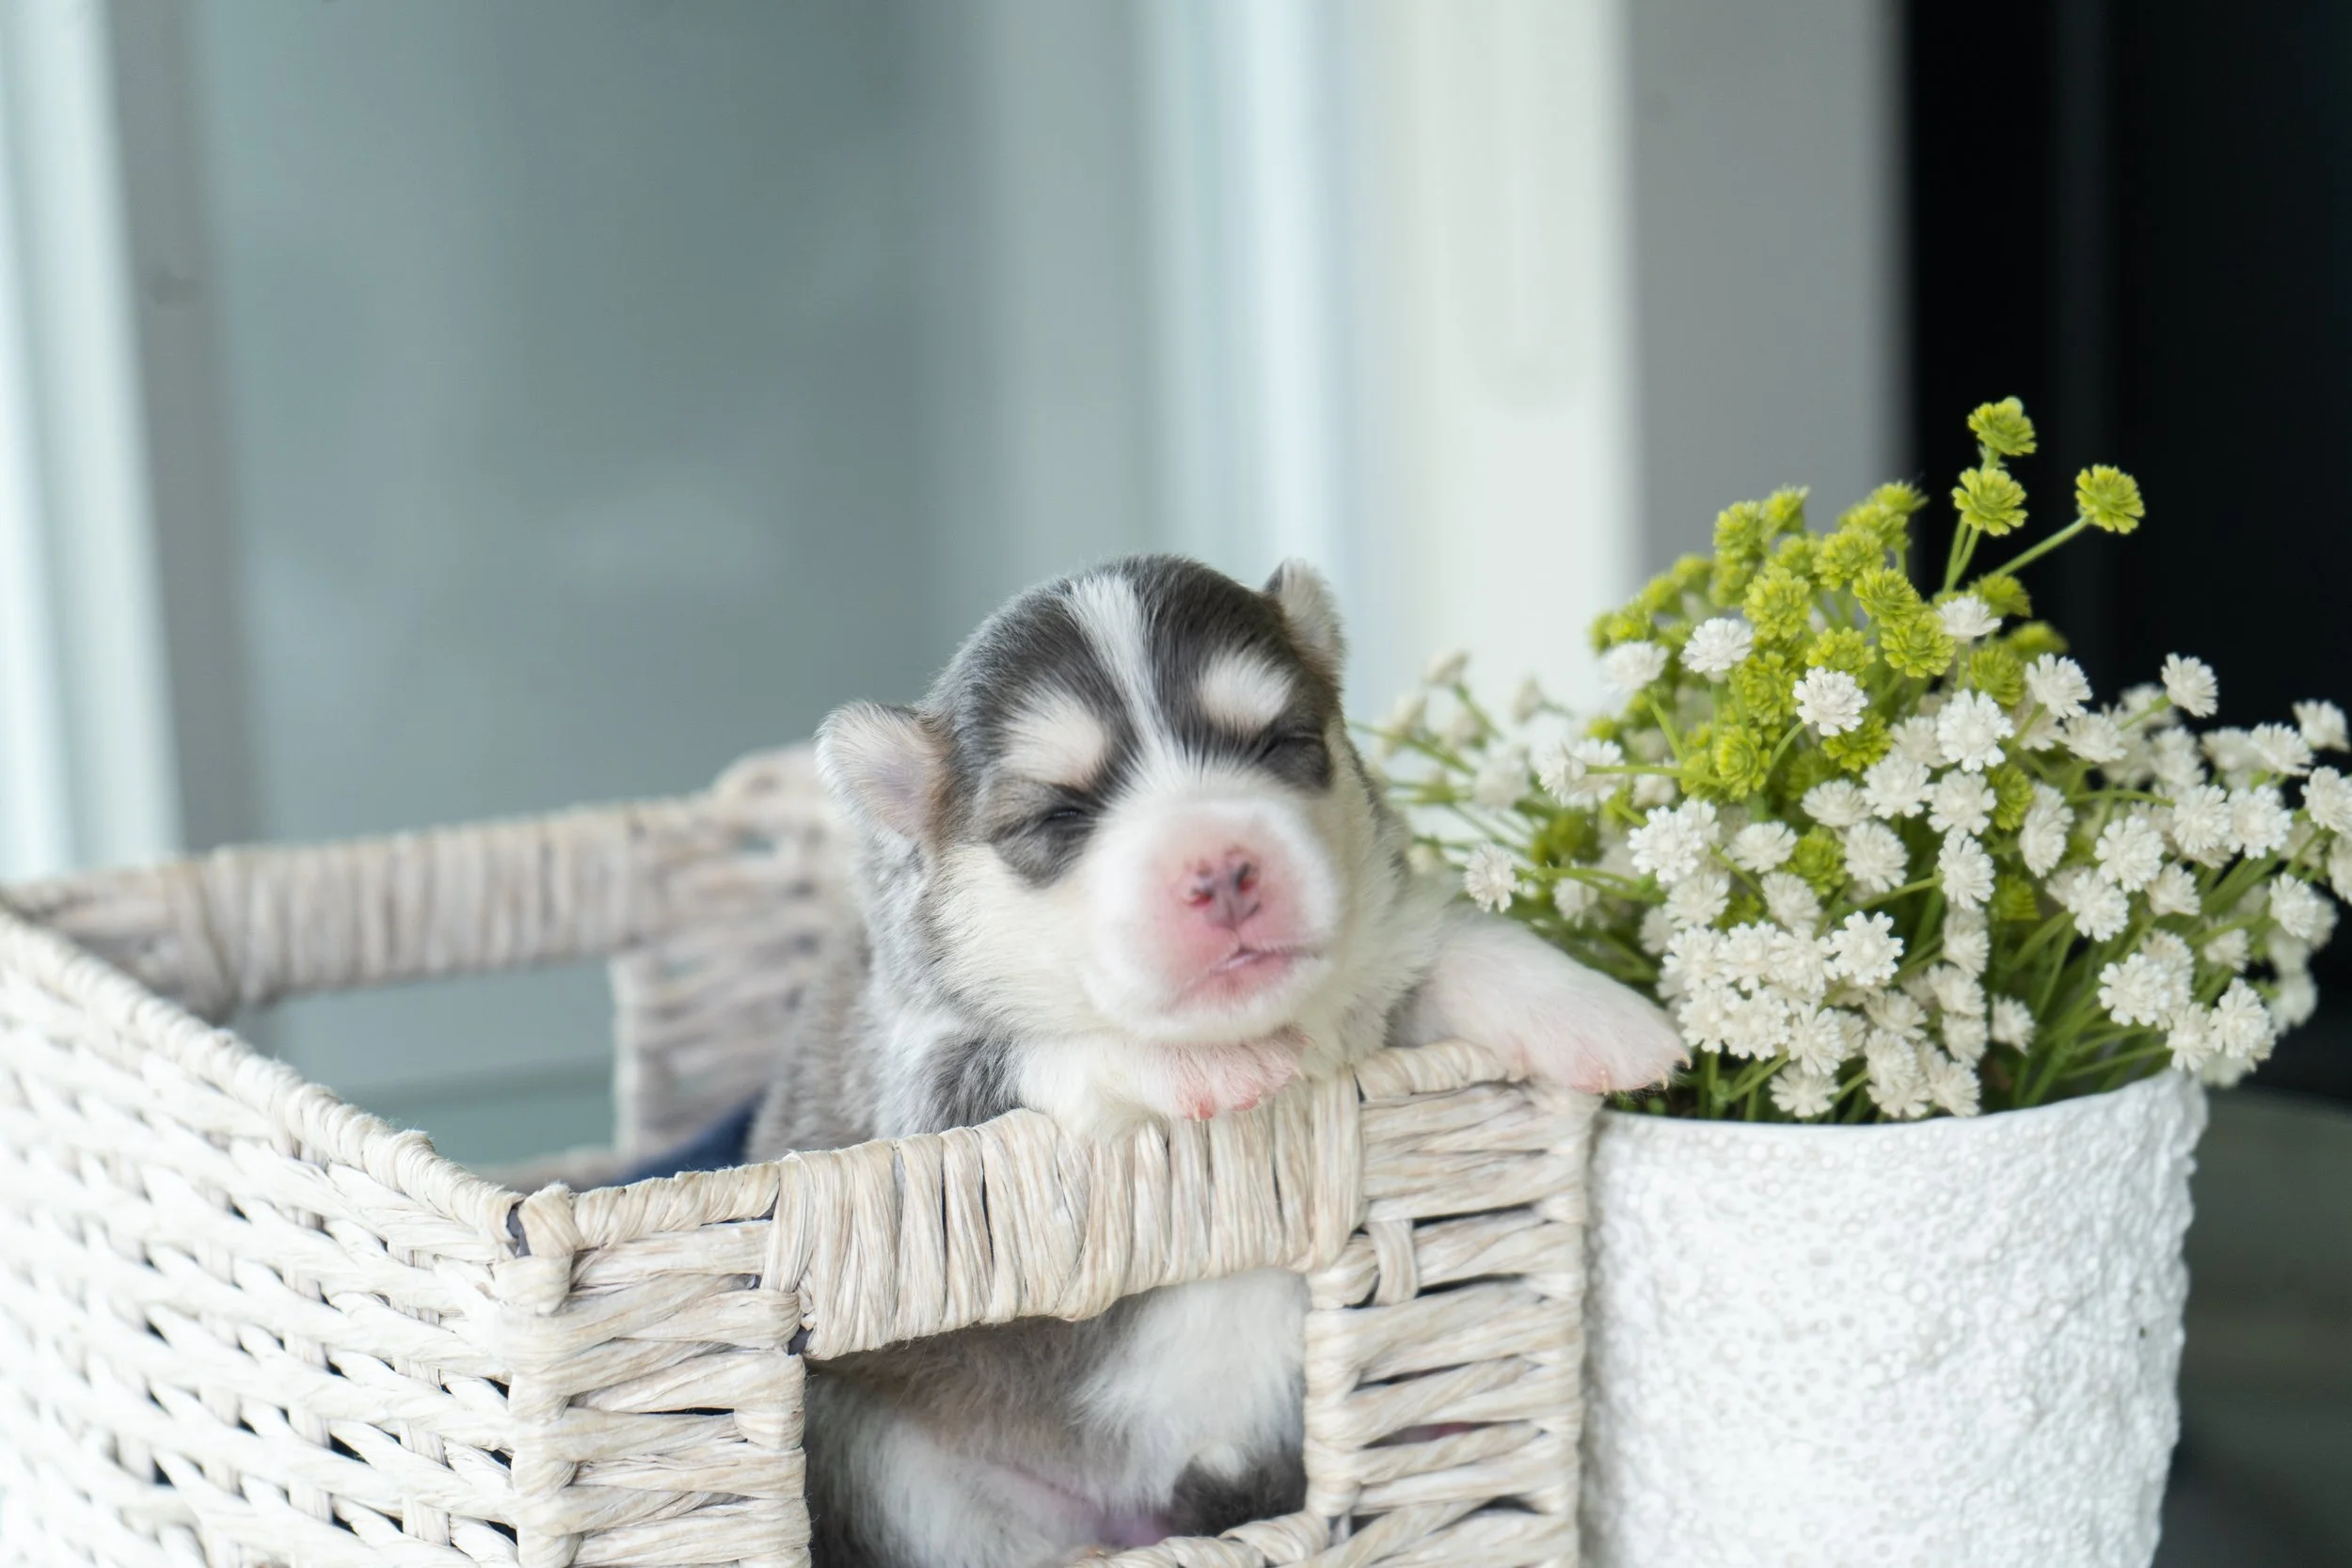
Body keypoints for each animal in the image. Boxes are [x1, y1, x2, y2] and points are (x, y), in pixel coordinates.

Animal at [748, 555, 1681, 1567]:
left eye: (1281, 742)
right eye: (1061, 813)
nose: (1223, 870)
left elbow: (1451, 944)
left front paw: (1600, 1013)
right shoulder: (909, 1088)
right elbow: (1045, 1047)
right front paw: (1194, 1063)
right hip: (891, 1465)